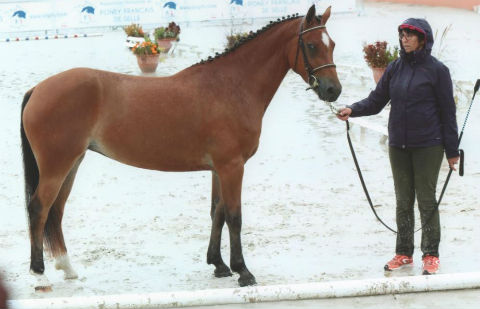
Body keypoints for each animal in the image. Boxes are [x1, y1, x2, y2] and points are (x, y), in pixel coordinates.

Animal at [19, 4, 342, 290]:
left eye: (333, 44)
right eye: (312, 45)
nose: (333, 90)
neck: (231, 85)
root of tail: (38, 89)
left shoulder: (219, 169)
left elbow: (217, 213)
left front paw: (219, 265)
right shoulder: (232, 167)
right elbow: (234, 217)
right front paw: (243, 272)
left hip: (71, 164)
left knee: (56, 210)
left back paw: (67, 268)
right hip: (57, 166)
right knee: (39, 208)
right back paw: (39, 276)